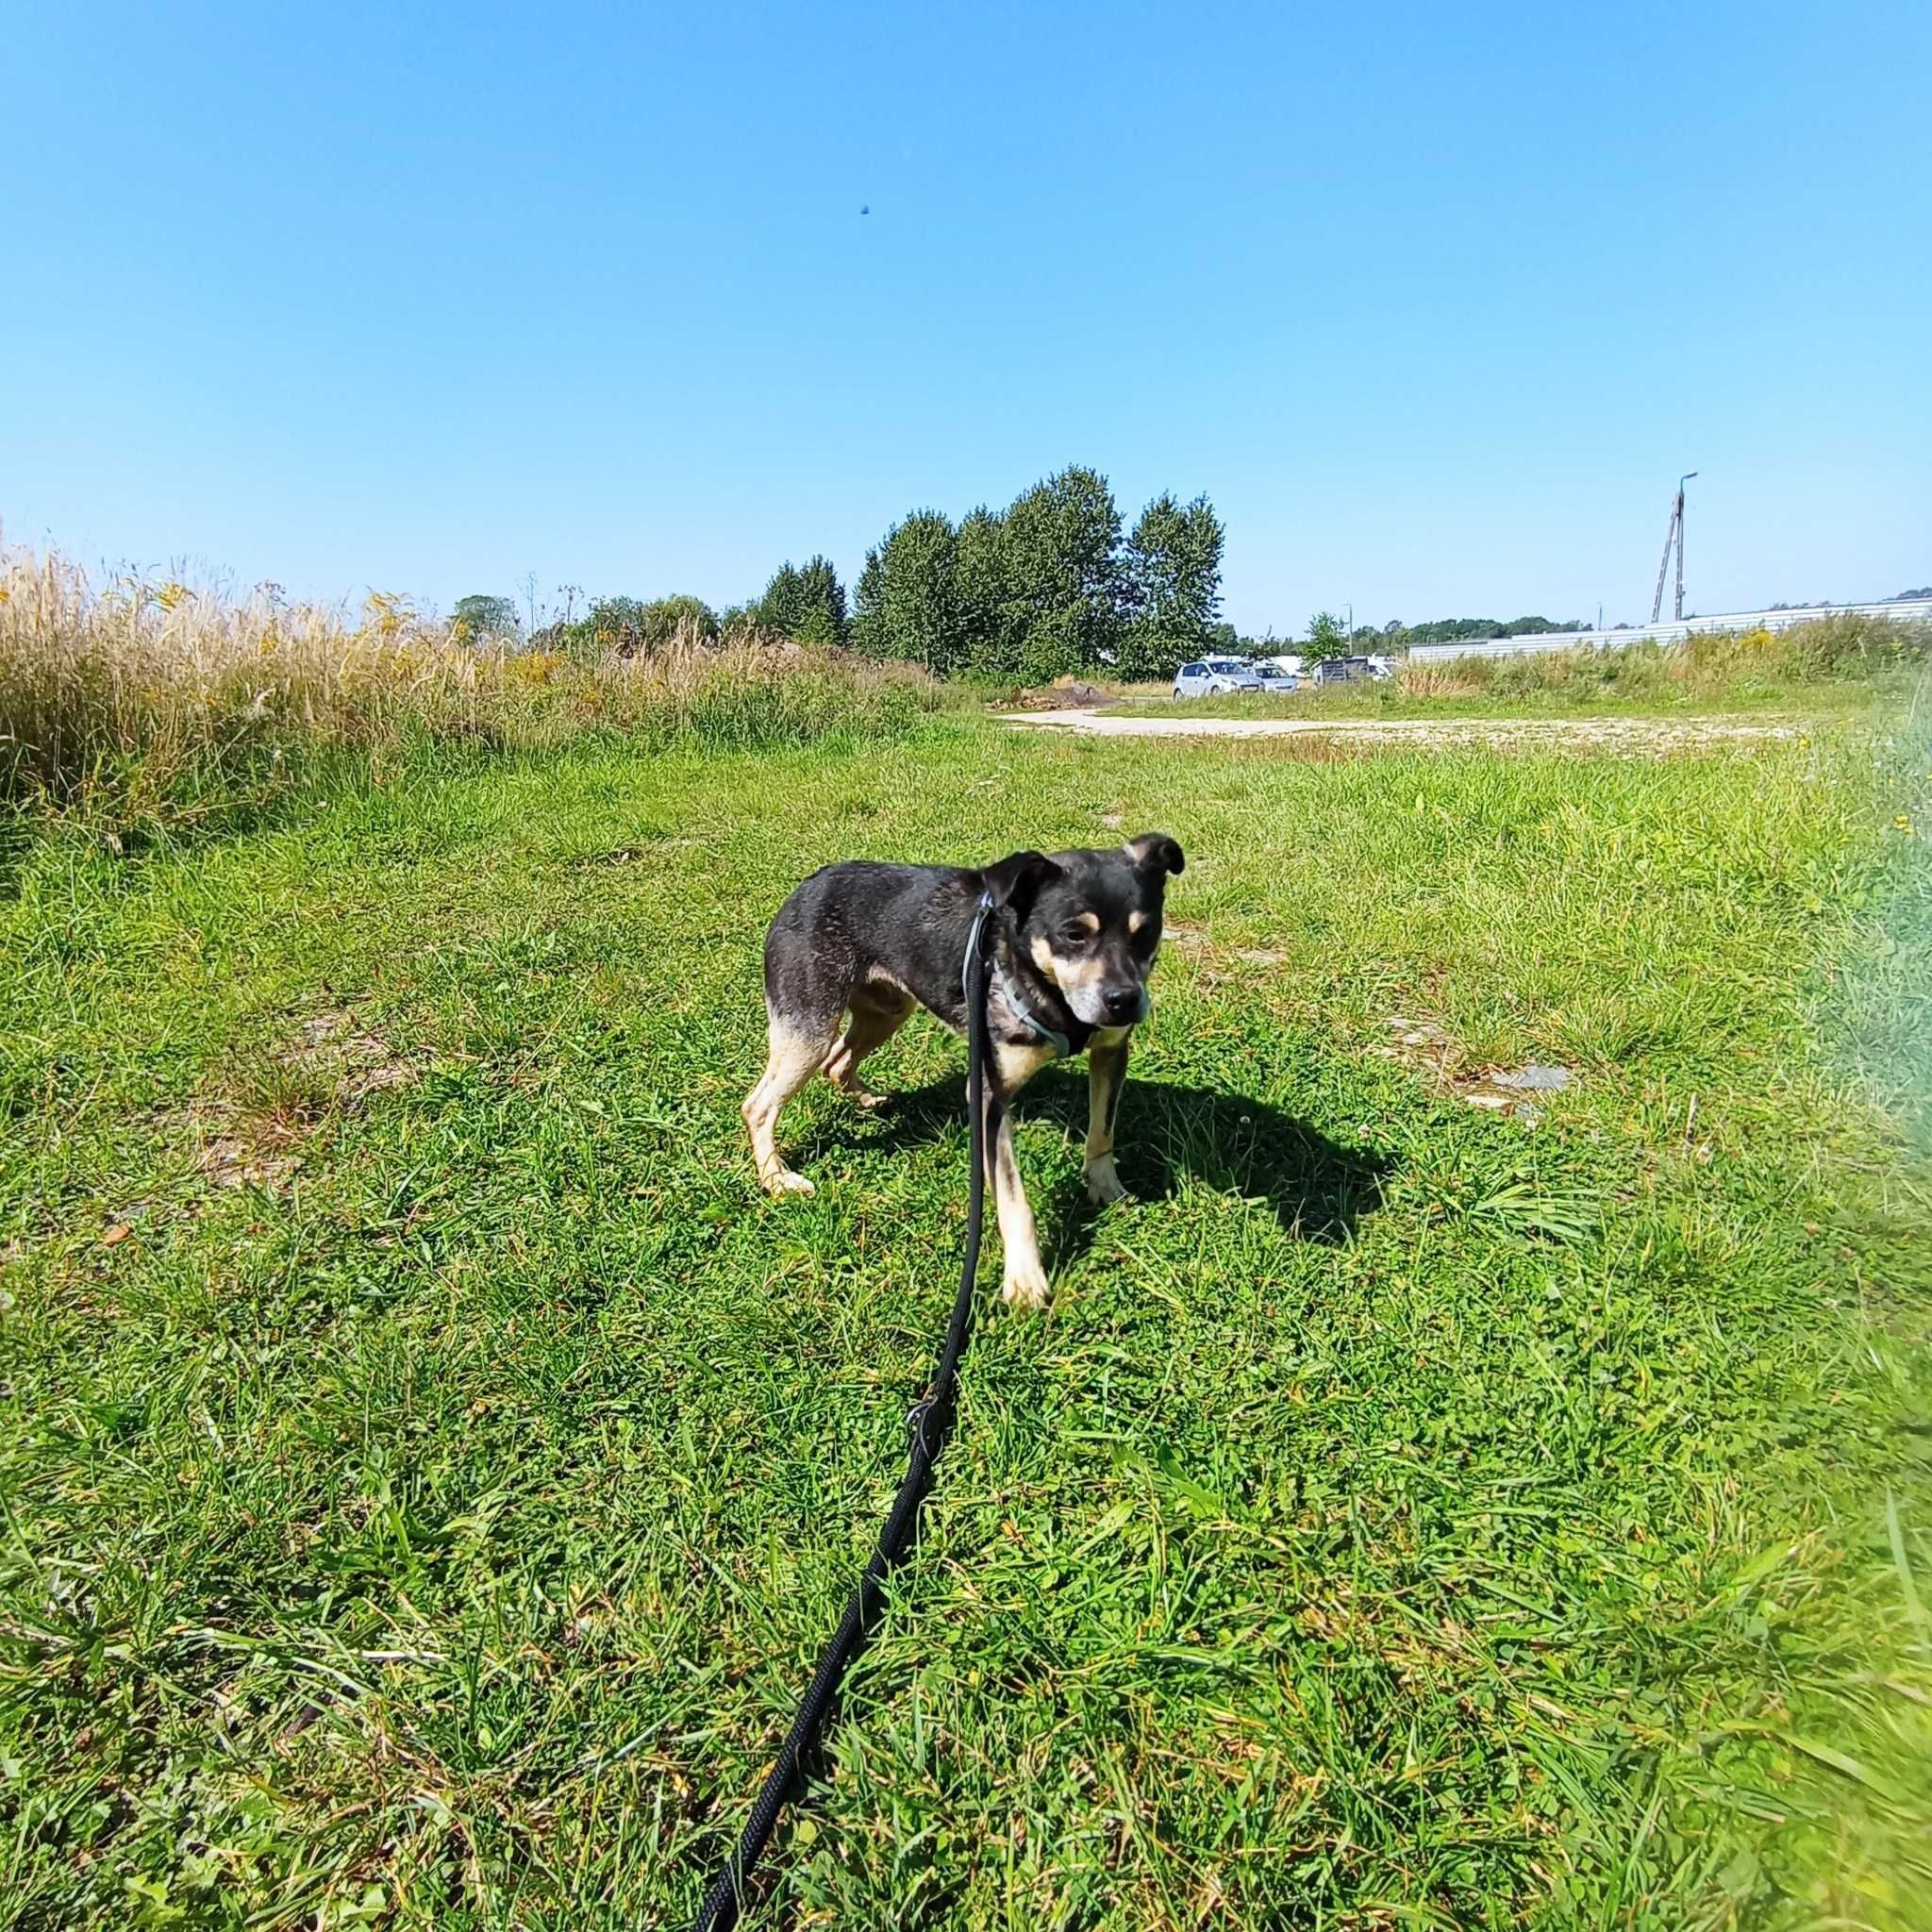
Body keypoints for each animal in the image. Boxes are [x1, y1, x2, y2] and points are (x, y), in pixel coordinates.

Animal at [745, 834, 1182, 1313]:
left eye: (1146, 932)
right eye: (1073, 934)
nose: (1124, 1000)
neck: (1042, 983)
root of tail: (809, 883)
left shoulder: (1111, 1052)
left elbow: (1102, 1133)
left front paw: (1106, 1189)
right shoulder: (989, 1096)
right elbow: (1013, 1198)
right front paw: (1025, 1279)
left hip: (887, 1010)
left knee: (837, 1063)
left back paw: (868, 1101)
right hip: (809, 1027)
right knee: (759, 1105)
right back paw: (776, 1178)